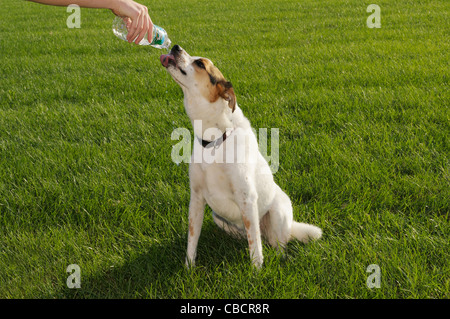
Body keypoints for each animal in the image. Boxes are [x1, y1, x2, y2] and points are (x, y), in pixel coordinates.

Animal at [160, 45, 322, 268]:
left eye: (200, 63)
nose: (175, 47)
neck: (214, 140)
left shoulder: (247, 199)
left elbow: (255, 246)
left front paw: (257, 271)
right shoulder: (197, 198)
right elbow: (192, 239)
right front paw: (189, 268)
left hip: (278, 211)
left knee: (275, 244)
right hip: (218, 216)